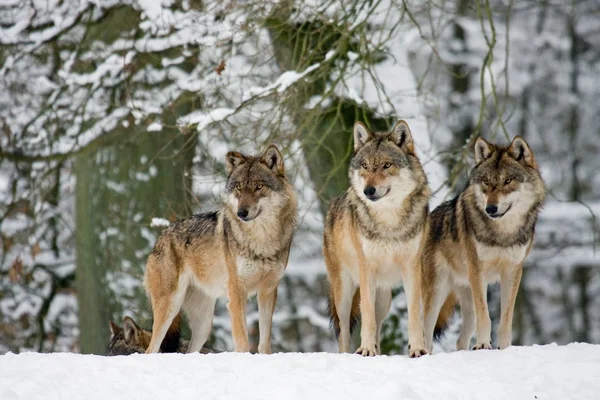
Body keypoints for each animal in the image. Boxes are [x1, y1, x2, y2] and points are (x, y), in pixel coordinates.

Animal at [144, 144, 298, 354]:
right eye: (239, 188)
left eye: (259, 187)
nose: (241, 213)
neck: (262, 239)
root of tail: (159, 238)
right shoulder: (236, 293)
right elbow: (242, 342)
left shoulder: (268, 291)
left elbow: (264, 342)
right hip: (169, 307)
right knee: (150, 349)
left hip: (204, 324)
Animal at [420, 137, 548, 354]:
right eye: (486, 182)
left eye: (508, 181)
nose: (491, 208)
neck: (503, 233)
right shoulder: (477, 271)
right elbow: (486, 315)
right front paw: (482, 345)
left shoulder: (513, 271)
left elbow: (505, 318)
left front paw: (505, 348)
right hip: (437, 293)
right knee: (426, 334)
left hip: (466, 300)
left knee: (460, 340)